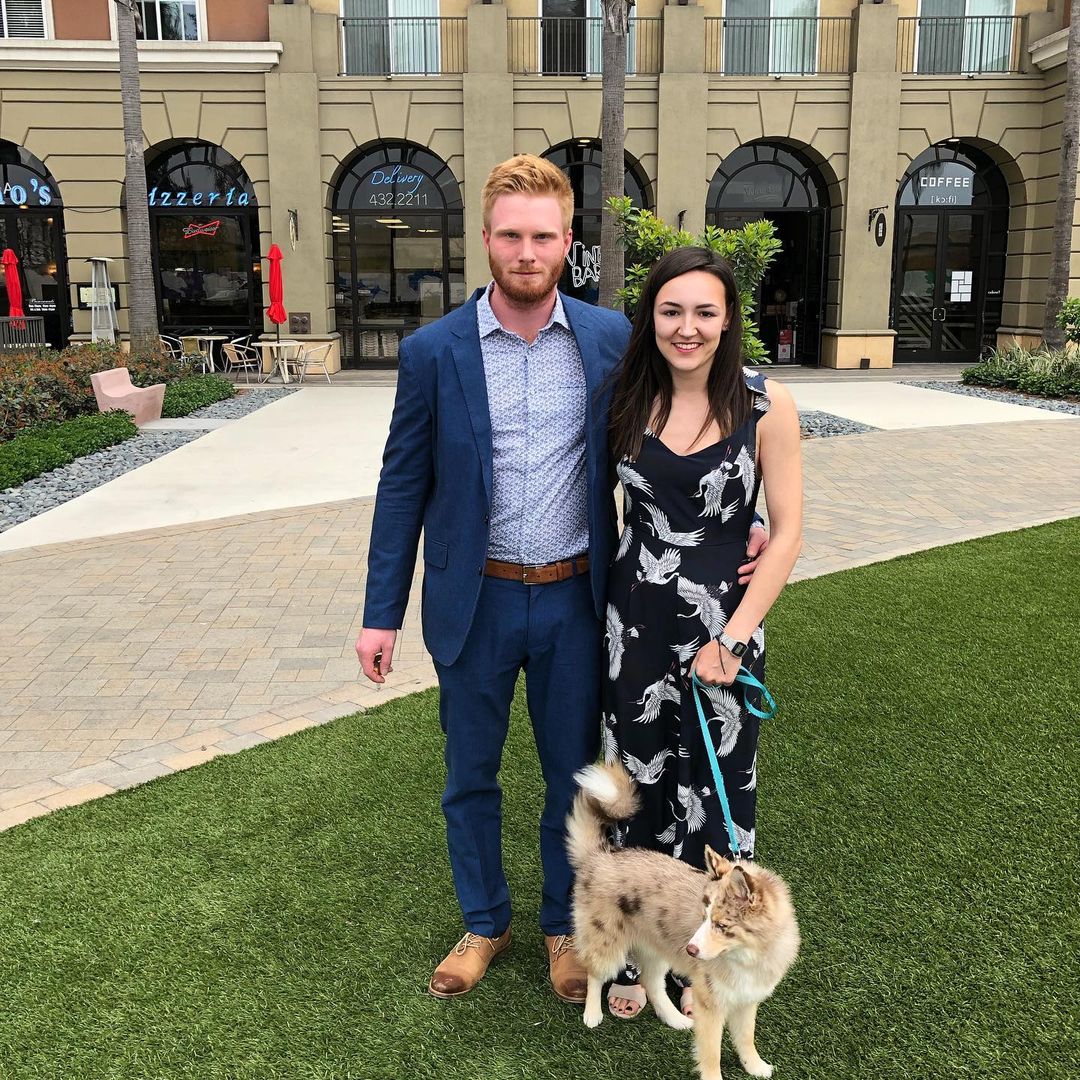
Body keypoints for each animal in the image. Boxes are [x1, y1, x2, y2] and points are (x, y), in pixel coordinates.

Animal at [570, 764, 799, 1075]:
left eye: (721, 925)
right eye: (703, 917)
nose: (690, 949)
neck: (749, 956)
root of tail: (600, 855)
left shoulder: (746, 1001)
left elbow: (746, 1037)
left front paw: (755, 1066)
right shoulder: (711, 1005)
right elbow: (711, 1054)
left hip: (655, 950)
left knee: (652, 983)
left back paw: (675, 1019)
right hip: (607, 943)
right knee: (595, 973)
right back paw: (592, 1013)